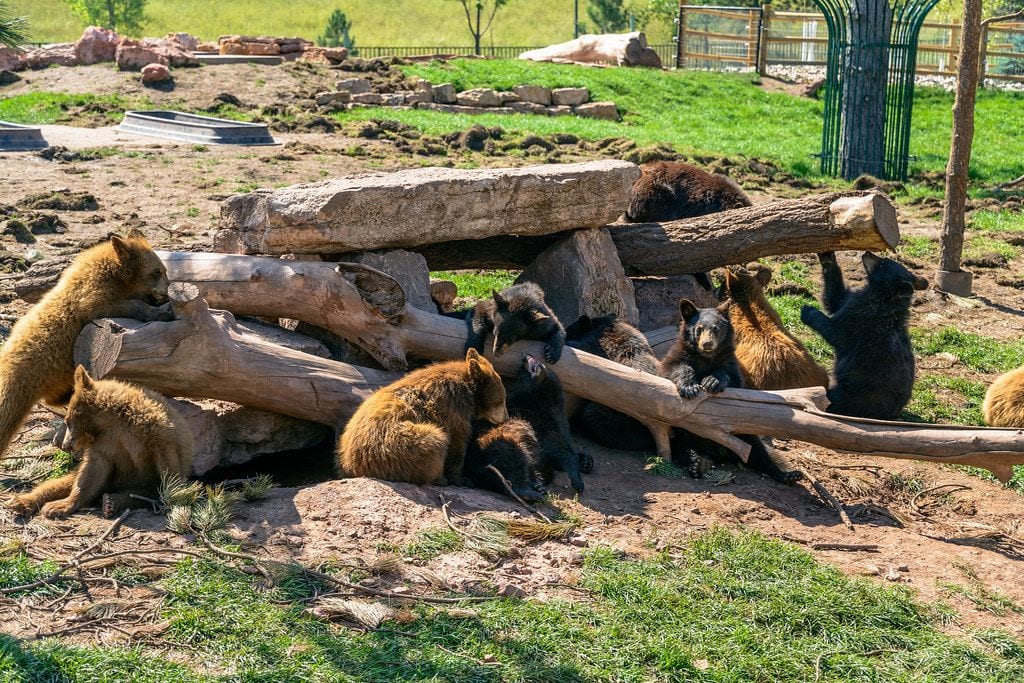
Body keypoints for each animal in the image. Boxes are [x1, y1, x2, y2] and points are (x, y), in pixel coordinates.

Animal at [0, 229, 172, 461]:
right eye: (157, 271)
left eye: (163, 269)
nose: (168, 287)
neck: (116, 275)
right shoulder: (92, 293)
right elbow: (105, 305)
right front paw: (161, 311)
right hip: (35, 369)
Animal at [6, 366, 194, 519]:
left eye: (67, 421)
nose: (65, 445)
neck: (112, 421)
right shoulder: (104, 443)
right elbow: (91, 472)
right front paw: (61, 505)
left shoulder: (155, 435)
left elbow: (169, 468)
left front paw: (175, 497)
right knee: (59, 483)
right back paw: (22, 502)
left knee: (143, 492)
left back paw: (112, 501)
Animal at [336, 348, 509, 486]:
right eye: (501, 400)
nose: (506, 418)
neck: (468, 391)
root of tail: (351, 464)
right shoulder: (453, 409)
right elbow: (457, 442)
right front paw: (461, 479)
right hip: (396, 446)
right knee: (435, 442)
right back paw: (438, 478)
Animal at [658, 299, 801, 483]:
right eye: (699, 329)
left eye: (715, 328)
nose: (707, 344)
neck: (706, 357)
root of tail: (722, 454)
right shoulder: (679, 354)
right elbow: (673, 368)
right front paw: (689, 387)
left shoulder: (731, 364)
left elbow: (732, 380)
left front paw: (712, 381)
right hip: (683, 434)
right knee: (684, 449)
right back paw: (698, 463)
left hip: (743, 435)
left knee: (759, 452)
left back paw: (789, 474)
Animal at [800, 251, 928, 420]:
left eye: (882, 263)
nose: (867, 253)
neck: (879, 295)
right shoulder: (853, 301)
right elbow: (835, 297)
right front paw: (827, 257)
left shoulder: (862, 320)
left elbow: (835, 330)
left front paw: (807, 310)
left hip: (857, 391)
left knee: (833, 399)